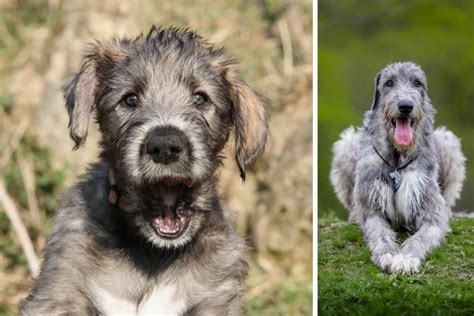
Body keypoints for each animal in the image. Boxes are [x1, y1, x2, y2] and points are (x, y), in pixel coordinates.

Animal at [19, 25, 266, 314]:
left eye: (200, 98)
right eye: (130, 99)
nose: (165, 146)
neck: (154, 252)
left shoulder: (215, 295)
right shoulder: (61, 287)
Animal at [332, 61, 464, 274]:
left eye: (417, 82)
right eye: (389, 83)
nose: (405, 106)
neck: (397, 159)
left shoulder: (431, 212)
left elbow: (421, 236)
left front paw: (406, 258)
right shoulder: (373, 208)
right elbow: (379, 233)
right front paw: (388, 254)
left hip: (447, 141)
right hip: (346, 145)